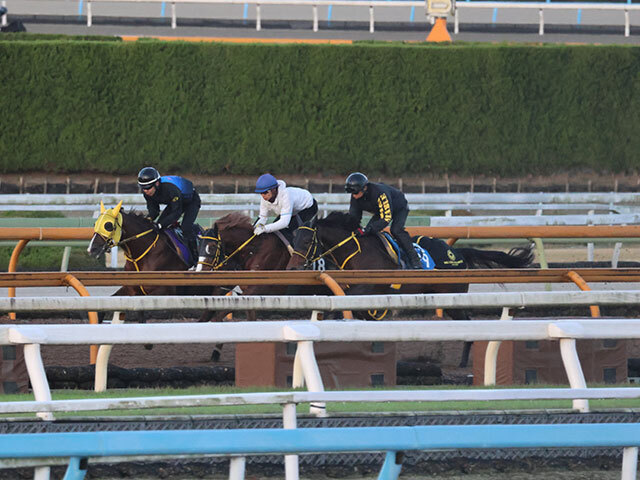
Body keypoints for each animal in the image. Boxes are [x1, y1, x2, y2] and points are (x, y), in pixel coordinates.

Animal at [286, 211, 536, 368]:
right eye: (294, 238)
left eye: (307, 241)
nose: (292, 268)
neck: (356, 252)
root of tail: (459, 253)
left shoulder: (364, 290)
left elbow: (339, 310)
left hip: (451, 297)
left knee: (468, 323)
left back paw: (463, 361)